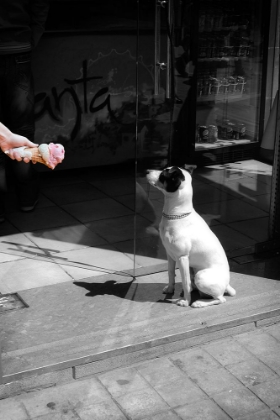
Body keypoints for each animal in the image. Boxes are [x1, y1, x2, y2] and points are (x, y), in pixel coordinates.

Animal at [147, 165, 236, 308]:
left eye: (163, 174)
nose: (146, 171)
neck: (176, 215)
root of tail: (227, 285)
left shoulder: (182, 257)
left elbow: (184, 281)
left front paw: (186, 301)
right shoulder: (170, 254)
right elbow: (170, 273)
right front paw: (170, 289)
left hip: (201, 276)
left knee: (220, 299)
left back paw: (199, 303)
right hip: (193, 270)